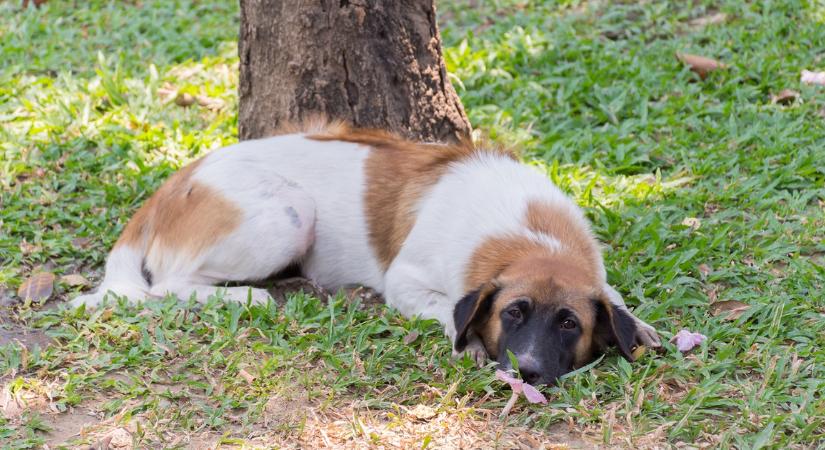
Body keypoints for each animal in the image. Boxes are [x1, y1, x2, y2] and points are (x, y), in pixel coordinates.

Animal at [72, 121, 664, 384]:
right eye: (513, 313)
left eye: (569, 323)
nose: (528, 372)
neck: (530, 231)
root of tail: (174, 182)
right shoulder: (406, 280)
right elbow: (443, 310)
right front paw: (469, 341)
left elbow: (611, 293)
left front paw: (636, 322)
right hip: (289, 214)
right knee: (170, 283)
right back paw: (251, 298)